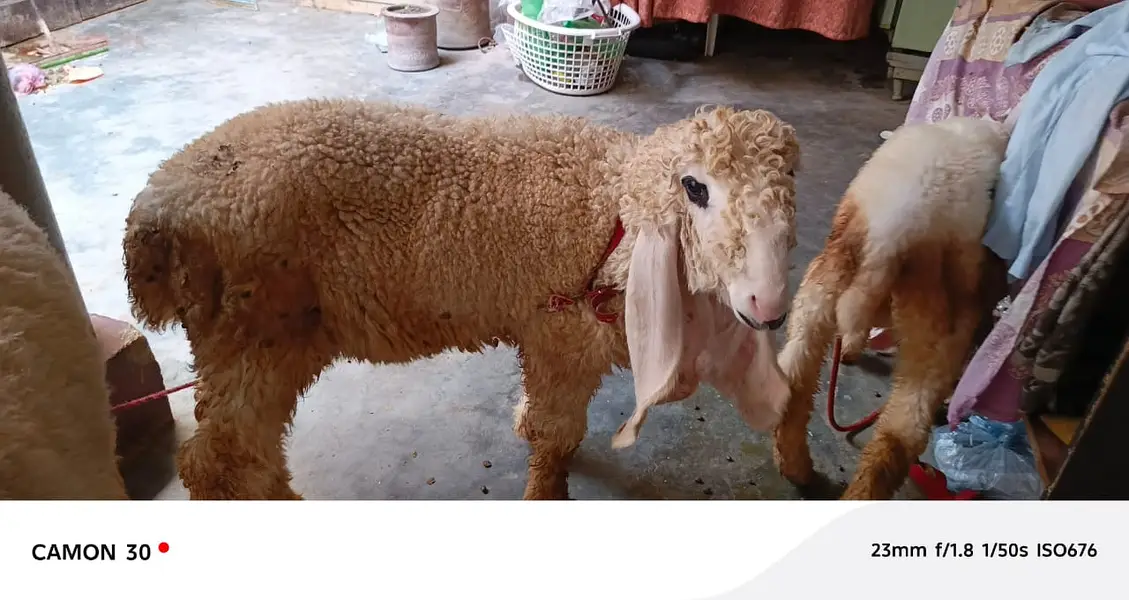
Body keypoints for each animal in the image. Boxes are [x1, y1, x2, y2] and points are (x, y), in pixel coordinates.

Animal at [121, 99, 801, 500]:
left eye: (790, 182)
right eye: (694, 188)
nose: (768, 307)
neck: (610, 209)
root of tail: (156, 211)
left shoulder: (546, 328)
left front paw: (524, 424)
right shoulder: (562, 338)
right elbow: (557, 434)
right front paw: (546, 490)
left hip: (235, 341)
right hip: (258, 334)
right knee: (221, 460)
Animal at [771, 116, 1011, 501]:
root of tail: (891, 233)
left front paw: (852, 349)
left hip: (823, 283)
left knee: (794, 382)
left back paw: (797, 468)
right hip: (937, 329)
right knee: (898, 435)